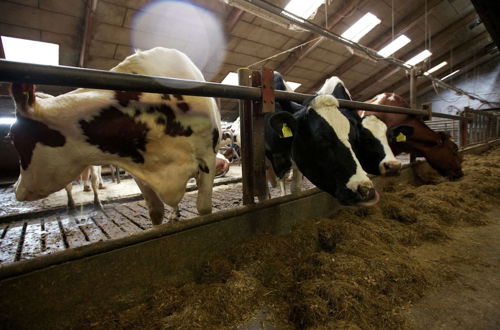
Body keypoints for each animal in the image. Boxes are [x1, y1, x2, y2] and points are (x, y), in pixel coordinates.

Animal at [8, 47, 221, 226]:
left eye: (11, 136)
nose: (15, 188)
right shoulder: (140, 173)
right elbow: (155, 212)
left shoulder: (207, 158)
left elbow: (204, 208)